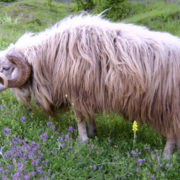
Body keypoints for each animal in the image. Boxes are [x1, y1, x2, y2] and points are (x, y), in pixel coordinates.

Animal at [0, 14, 180, 158]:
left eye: (6, 68)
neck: (49, 56)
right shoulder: (88, 93)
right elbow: (90, 115)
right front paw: (93, 132)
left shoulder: (76, 92)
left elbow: (80, 118)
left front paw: (83, 140)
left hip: (168, 106)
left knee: (172, 133)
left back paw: (165, 156)